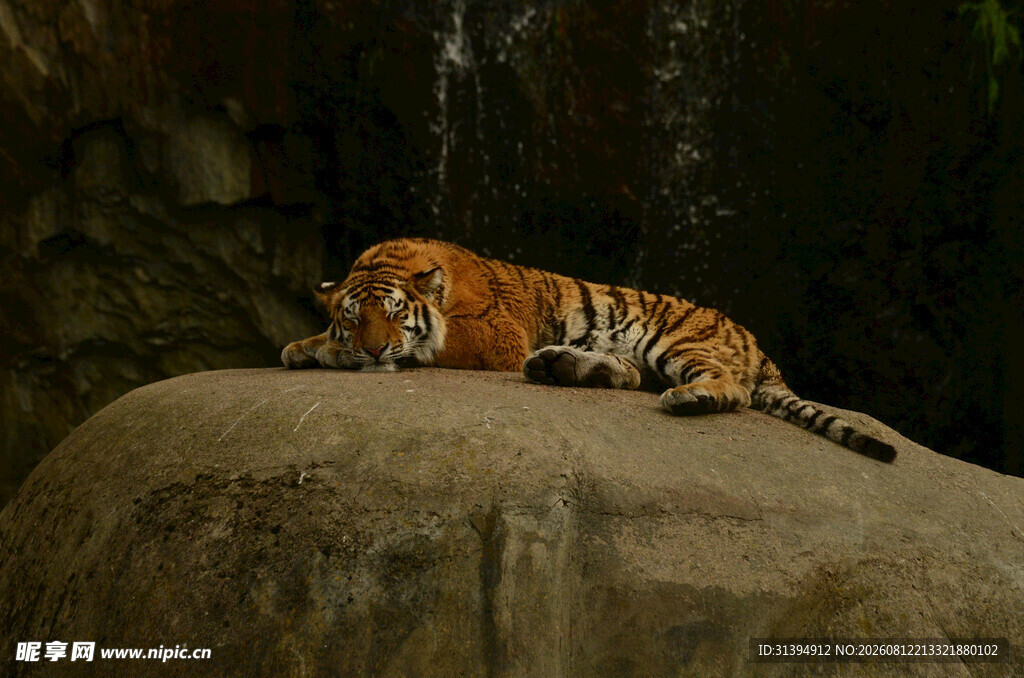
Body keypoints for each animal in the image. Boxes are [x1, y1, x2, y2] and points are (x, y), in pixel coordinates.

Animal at [281, 238, 896, 462]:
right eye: (354, 318)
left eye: (393, 315)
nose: (371, 351)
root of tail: (757, 343)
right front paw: (305, 345)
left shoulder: (494, 334)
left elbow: (431, 344)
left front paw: (332, 353)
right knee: (629, 375)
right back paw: (565, 365)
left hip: (676, 341)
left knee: (730, 389)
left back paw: (689, 398)